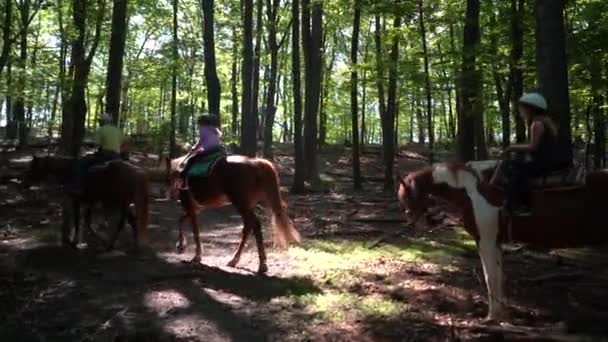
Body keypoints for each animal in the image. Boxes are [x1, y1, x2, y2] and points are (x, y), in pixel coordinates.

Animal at [166, 154, 302, 274]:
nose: (170, 195)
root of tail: (255, 163)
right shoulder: (195, 209)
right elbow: (181, 220)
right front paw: (182, 246)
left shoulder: (190, 208)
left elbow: (194, 231)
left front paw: (192, 253)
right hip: (247, 205)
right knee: (248, 227)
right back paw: (236, 260)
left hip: (241, 204)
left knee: (254, 225)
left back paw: (261, 265)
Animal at [396, 160, 608, 320]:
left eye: (407, 197)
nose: (413, 224)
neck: (472, 190)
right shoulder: (495, 242)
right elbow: (498, 276)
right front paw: (501, 313)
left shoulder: (486, 241)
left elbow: (490, 277)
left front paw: (492, 316)